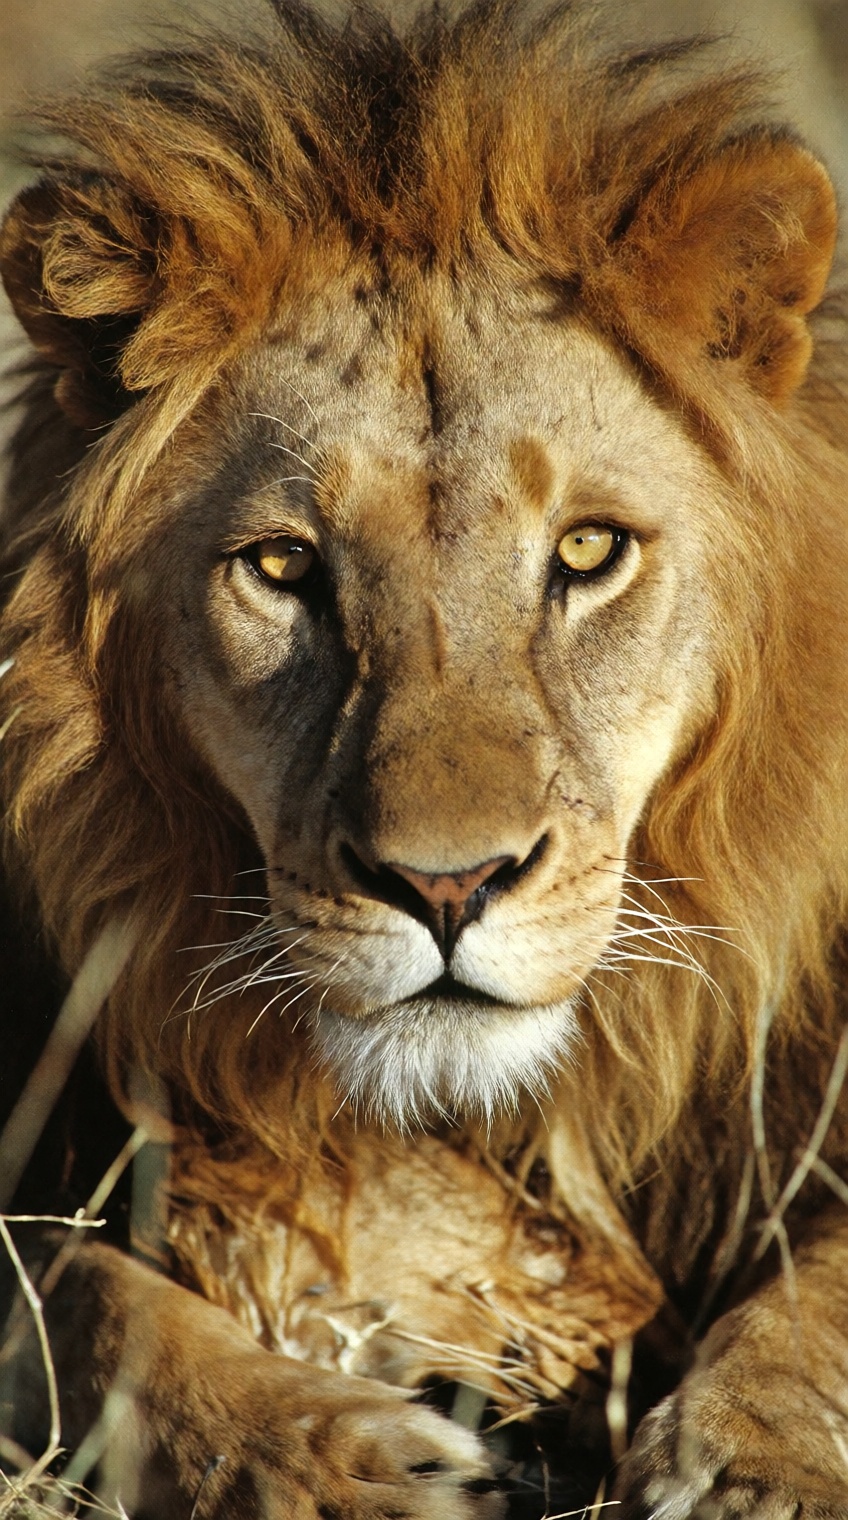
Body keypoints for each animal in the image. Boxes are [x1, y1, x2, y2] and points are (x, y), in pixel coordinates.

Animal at [1, 1, 847, 1515]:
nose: (446, 889)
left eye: (587, 550)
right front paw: (330, 1455)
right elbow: (78, 1296)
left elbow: (830, 1283)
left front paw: (755, 1457)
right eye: (286, 568)